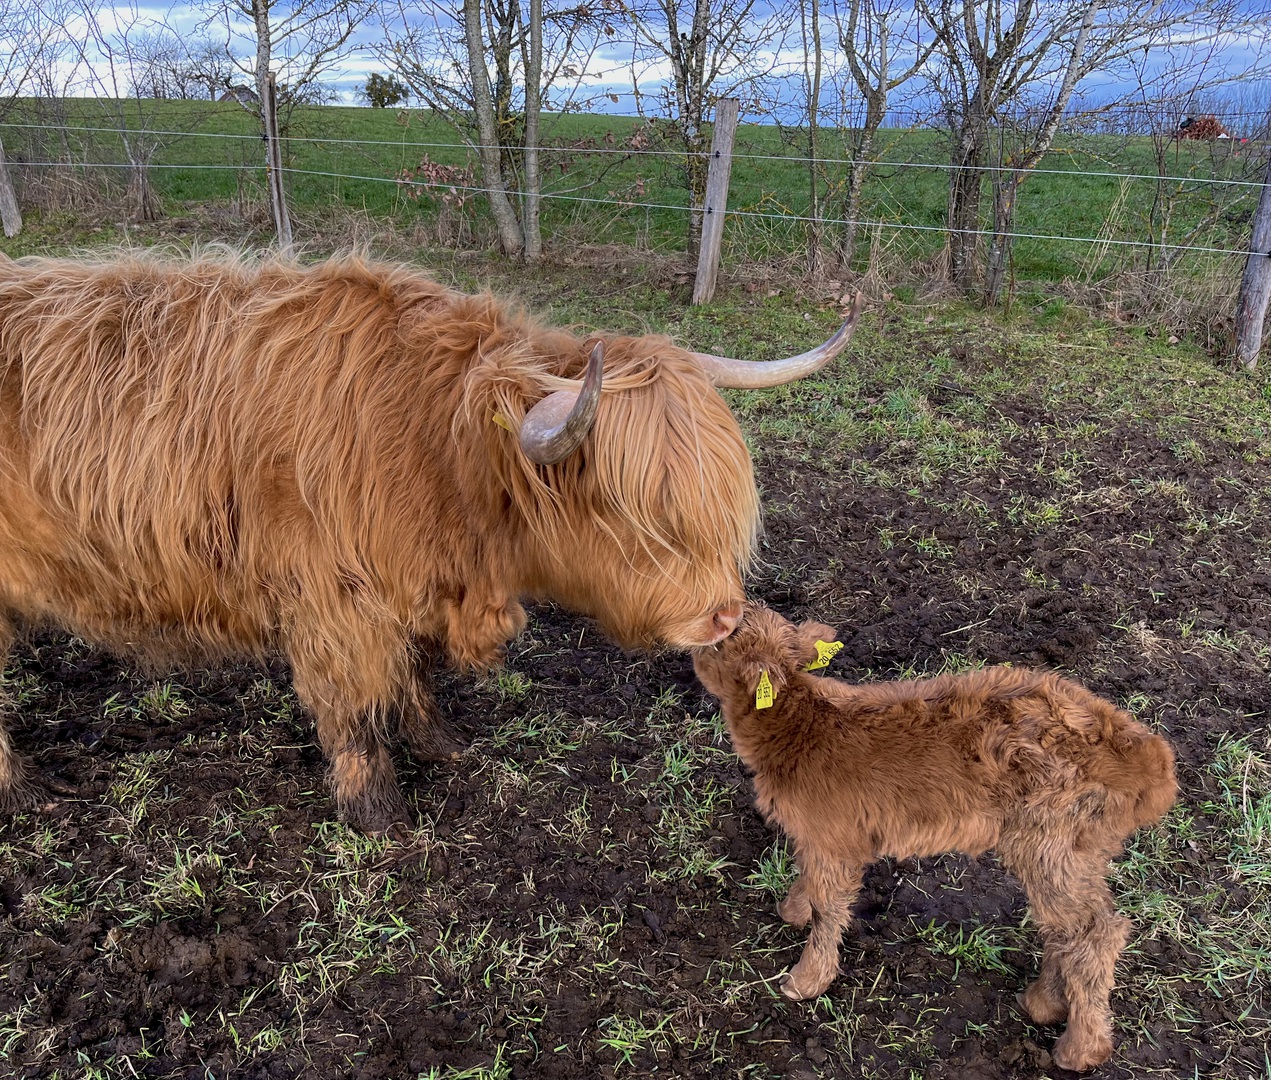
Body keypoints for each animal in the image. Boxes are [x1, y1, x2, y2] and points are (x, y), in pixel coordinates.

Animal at [0, 250, 863, 834]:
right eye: (631, 513)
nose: (723, 617)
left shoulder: (405, 581)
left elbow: (412, 672)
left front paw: (441, 743)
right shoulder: (331, 603)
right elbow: (351, 708)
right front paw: (378, 815)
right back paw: (22, 791)